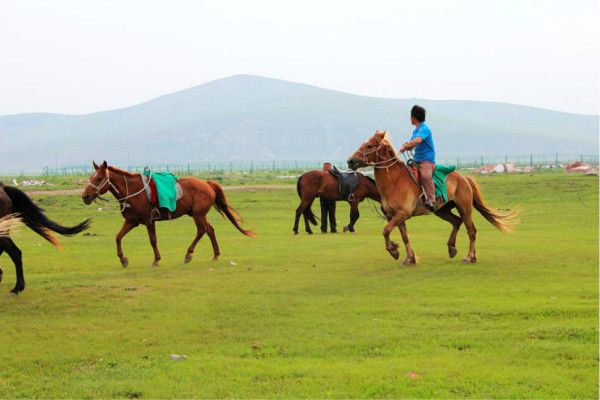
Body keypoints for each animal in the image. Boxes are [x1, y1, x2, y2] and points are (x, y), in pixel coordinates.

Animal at [81, 161, 254, 268]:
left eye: (99, 178)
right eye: (91, 177)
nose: (85, 196)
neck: (133, 190)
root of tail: (206, 183)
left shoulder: (149, 221)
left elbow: (153, 241)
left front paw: (156, 260)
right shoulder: (132, 221)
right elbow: (118, 237)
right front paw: (123, 259)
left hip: (198, 215)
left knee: (202, 230)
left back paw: (189, 254)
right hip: (199, 215)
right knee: (210, 230)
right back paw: (216, 254)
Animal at [346, 130, 520, 264]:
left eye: (369, 146)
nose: (350, 161)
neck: (394, 182)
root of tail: (464, 178)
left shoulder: (403, 214)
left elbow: (386, 230)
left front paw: (394, 251)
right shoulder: (395, 216)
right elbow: (403, 236)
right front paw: (409, 258)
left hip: (464, 208)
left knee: (471, 230)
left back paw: (469, 257)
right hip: (441, 210)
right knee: (456, 222)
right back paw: (452, 248)